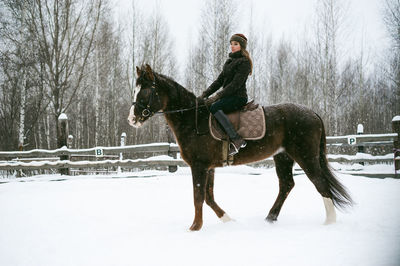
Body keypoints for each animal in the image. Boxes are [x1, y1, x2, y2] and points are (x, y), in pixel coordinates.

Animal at [126, 64, 352, 231]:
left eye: (144, 92)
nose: (132, 119)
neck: (193, 119)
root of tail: (312, 113)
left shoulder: (199, 166)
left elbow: (198, 197)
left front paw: (194, 228)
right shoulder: (209, 167)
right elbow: (209, 197)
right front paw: (228, 220)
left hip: (306, 156)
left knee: (320, 183)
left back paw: (329, 223)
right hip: (283, 157)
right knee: (287, 185)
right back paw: (270, 218)